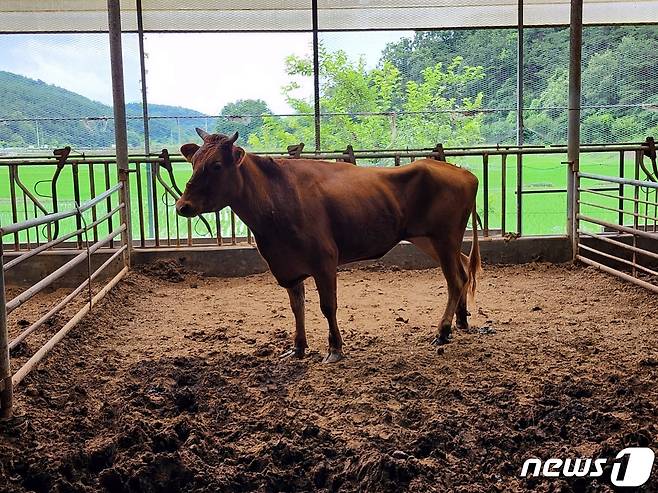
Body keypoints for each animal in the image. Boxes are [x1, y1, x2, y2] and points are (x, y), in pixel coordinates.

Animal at [177, 129, 480, 364]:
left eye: (216, 165)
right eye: (194, 163)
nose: (182, 206)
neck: (275, 200)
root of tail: (462, 172)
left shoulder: (324, 261)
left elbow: (327, 306)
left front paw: (335, 348)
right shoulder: (286, 265)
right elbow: (297, 306)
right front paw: (298, 347)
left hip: (444, 237)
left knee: (455, 279)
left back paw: (442, 331)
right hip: (428, 239)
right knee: (465, 268)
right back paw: (461, 322)